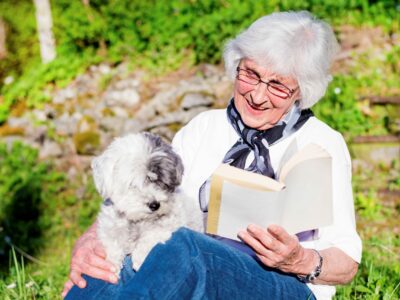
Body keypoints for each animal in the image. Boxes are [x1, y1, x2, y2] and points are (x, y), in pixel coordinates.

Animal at [92, 132, 202, 274]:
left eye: (161, 182)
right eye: (133, 184)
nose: (155, 205)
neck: (137, 220)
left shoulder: (170, 224)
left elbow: (151, 235)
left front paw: (140, 258)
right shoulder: (109, 226)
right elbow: (112, 243)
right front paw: (112, 264)